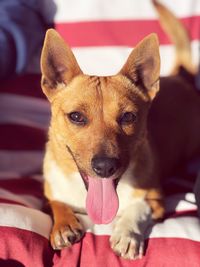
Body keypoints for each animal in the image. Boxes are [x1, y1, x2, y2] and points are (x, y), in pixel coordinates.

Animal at [39, 0, 200, 260]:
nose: (105, 167)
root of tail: (180, 78)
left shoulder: (155, 199)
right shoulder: (50, 192)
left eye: (128, 117)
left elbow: (138, 209)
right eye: (76, 117)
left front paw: (127, 234)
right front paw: (63, 224)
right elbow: (56, 203)